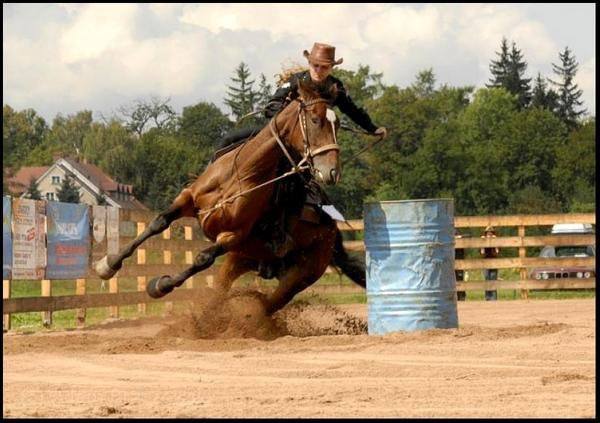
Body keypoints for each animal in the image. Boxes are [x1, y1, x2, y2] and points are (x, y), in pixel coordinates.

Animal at [94, 80, 364, 314]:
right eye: (316, 120)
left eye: (338, 125)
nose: (332, 171)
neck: (242, 174)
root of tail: (333, 232)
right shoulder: (188, 199)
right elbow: (158, 223)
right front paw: (108, 265)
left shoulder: (233, 236)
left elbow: (202, 259)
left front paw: (160, 286)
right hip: (241, 260)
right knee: (223, 291)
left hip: (300, 276)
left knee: (267, 305)